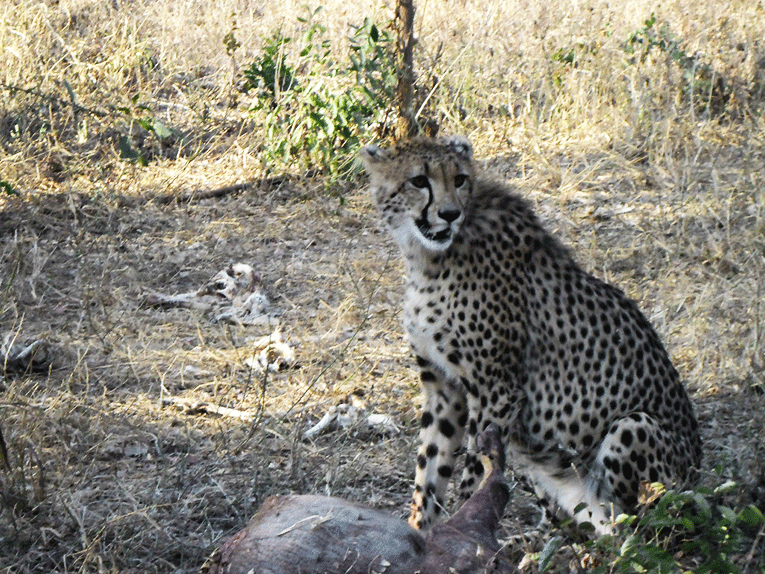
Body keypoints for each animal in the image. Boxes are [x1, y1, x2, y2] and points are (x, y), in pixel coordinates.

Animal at [360, 135, 702, 535]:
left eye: (460, 178)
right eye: (418, 180)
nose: (449, 214)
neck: (430, 257)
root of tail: (700, 479)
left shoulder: (496, 390)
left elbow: (474, 474)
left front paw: (462, 527)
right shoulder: (443, 388)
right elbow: (429, 471)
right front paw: (418, 533)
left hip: (633, 428)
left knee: (639, 529)